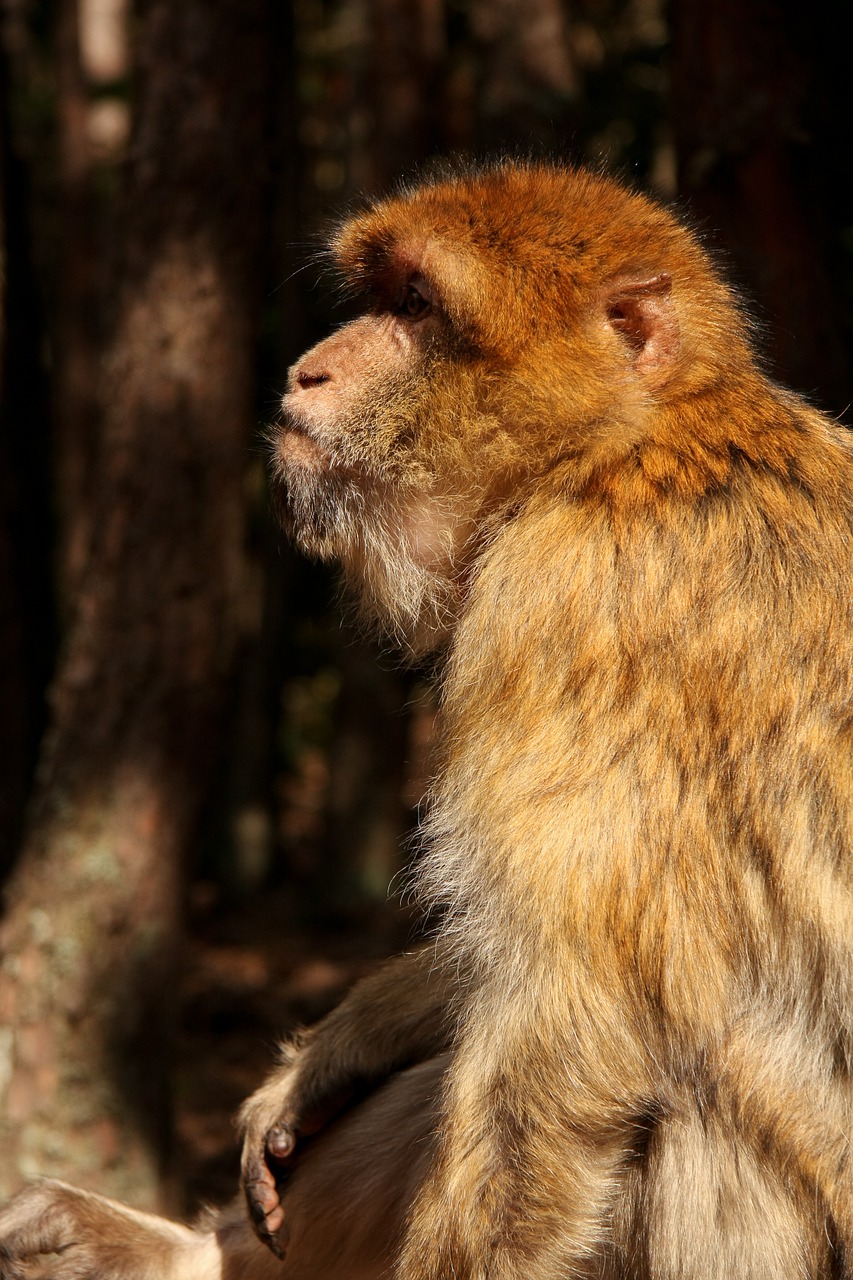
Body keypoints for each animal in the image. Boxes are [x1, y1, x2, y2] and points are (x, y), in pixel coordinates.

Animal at [1, 162, 850, 1280]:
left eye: (415, 306)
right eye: (378, 293)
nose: (304, 372)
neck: (619, 444)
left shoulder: (570, 596)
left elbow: (572, 1023)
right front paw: (342, 1043)